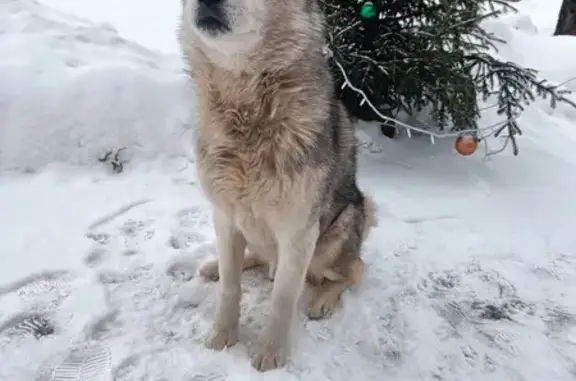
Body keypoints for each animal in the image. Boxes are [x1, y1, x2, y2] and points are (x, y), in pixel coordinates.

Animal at [180, 0, 378, 372]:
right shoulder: (225, 216)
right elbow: (231, 287)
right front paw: (222, 335)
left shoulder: (298, 233)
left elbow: (282, 300)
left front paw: (271, 353)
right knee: (254, 257)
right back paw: (216, 266)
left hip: (336, 234)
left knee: (356, 271)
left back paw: (322, 300)